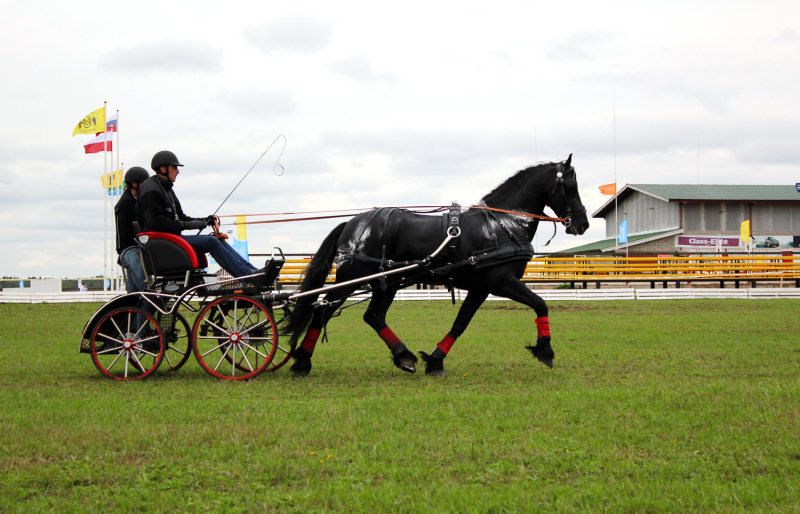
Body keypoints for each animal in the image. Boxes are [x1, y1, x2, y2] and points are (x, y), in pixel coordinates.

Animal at [286, 154, 588, 374]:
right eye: (571, 187)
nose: (583, 223)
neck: (501, 224)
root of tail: (352, 223)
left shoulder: (480, 287)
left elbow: (460, 324)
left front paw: (435, 360)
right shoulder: (501, 282)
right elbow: (540, 304)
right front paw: (545, 350)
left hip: (387, 282)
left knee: (373, 316)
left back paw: (404, 357)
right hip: (352, 279)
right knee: (322, 312)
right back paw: (302, 361)